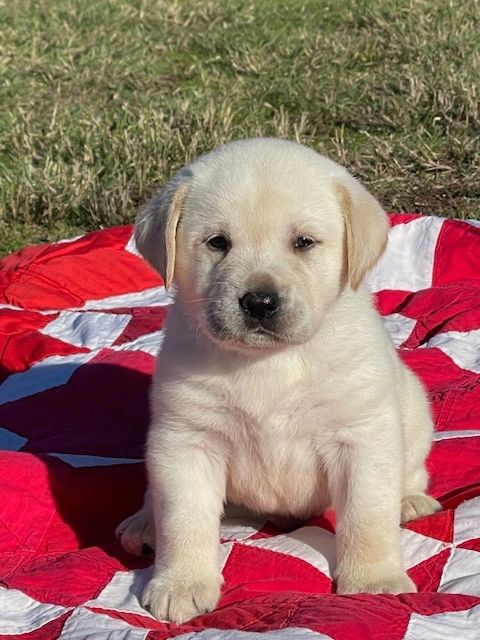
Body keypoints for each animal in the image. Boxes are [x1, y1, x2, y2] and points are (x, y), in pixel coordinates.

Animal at [116, 138, 441, 623]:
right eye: (218, 242)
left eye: (303, 242)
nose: (259, 302)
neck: (267, 362)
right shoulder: (186, 440)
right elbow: (184, 519)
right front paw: (181, 584)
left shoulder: (360, 437)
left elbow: (367, 515)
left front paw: (374, 581)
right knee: (157, 497)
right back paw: (143, 523)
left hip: (414, 409)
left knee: (411, 471)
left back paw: (410, 500)